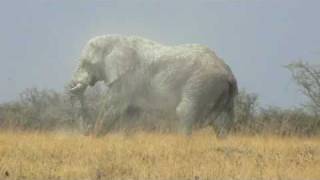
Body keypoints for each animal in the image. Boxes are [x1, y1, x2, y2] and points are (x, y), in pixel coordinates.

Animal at [69, 34, 239, 137]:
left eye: (86, 63)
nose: (88, 129)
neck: (115, 40)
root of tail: (228, 72)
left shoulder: (128, 77)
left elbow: (112, 108)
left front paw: (94, 138)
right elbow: (131, 113)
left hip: (201, 83)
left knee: (184, 111)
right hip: (221, 90)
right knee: (223, 121)